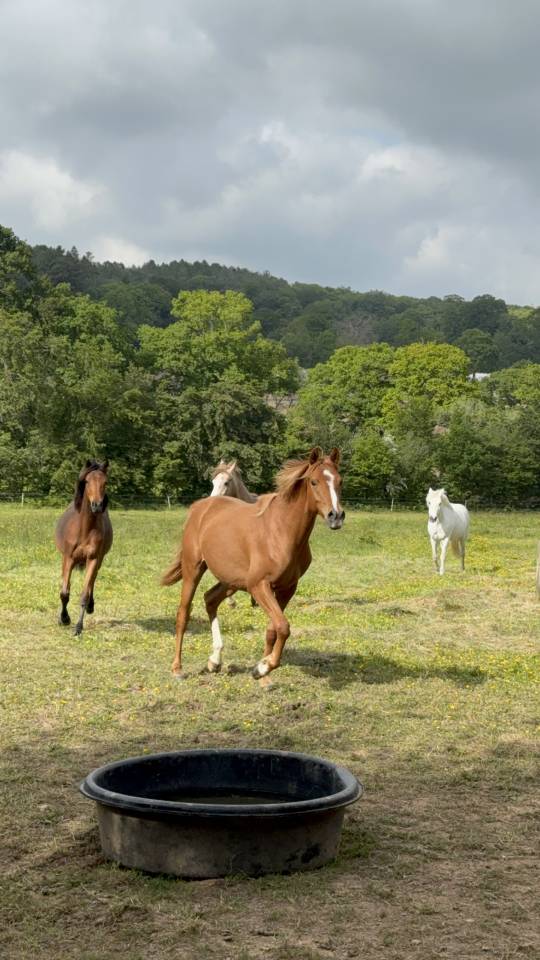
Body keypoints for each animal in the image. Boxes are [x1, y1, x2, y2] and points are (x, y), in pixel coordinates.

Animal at [55, 459, 113, 635]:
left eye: (105, 482)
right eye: (87, 481)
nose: (97, 506)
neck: (85, 529)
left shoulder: (93, 559)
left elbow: (84, 594)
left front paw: (78, 627)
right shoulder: (69, 559)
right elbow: (64, 593)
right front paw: (64, 619)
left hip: (98, 561)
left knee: (92, 582)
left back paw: (91, 607)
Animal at [162, 447, 345, 681]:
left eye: (339, 481)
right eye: (313, 482)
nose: (336, 516)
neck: (281, 531)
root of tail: (200, 507)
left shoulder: (287, 588)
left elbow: (273, 630)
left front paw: (262, 672)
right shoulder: (258, 585)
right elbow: (283, 627)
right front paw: (264, 667)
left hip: (231, 579)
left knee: (210, 600)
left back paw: (215, 661)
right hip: (193, 568)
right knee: (183, 613)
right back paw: (177, 668)